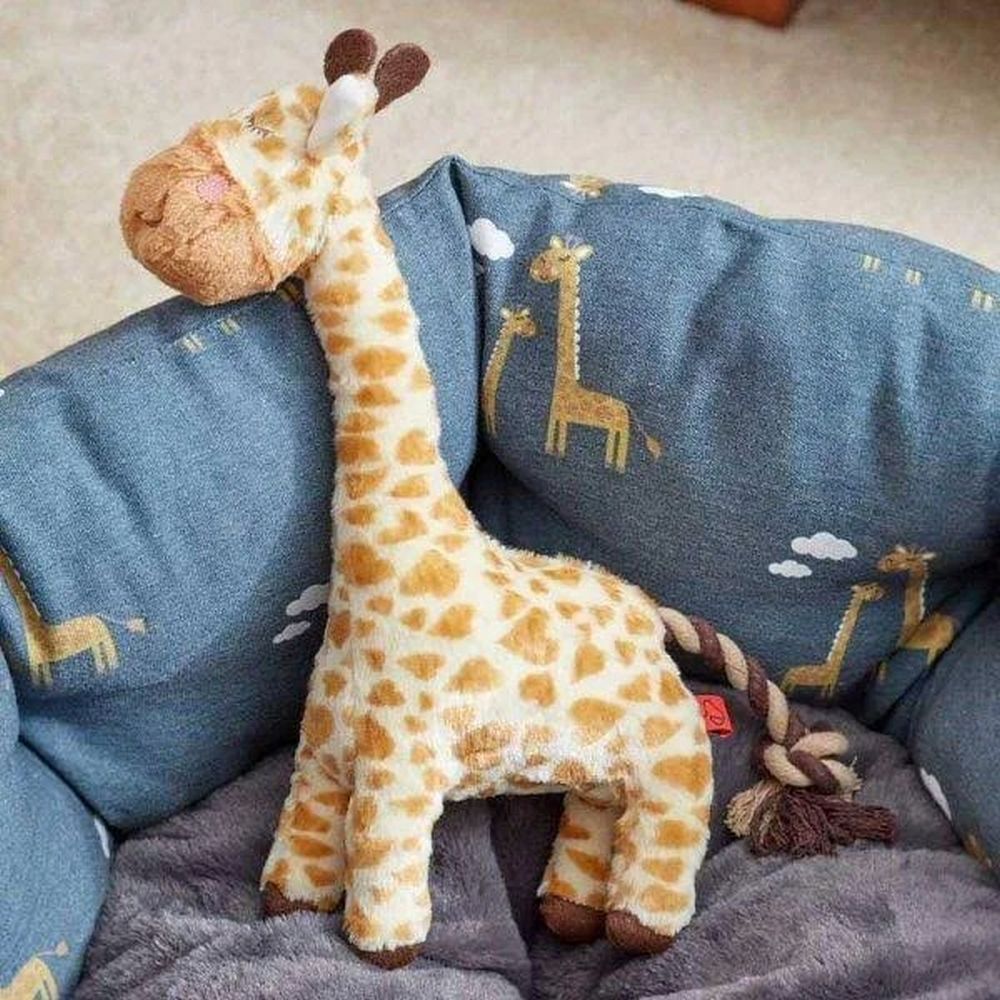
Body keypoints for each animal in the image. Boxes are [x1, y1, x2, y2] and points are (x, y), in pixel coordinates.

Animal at [481, 306, 538, 436]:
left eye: (526, 316)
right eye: (518, 318)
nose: (534, 328)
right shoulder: (489, 403)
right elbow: (491, 419)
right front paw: (493, 432)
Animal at [530, 237, 661, 473]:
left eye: (564, 258)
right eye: (546, 254)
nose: (535, 268)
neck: (566, 383)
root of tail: (626, 407)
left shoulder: (558, 415)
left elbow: (557, 437)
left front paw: (555, 453)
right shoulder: (558, 417)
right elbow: (557, 436)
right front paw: (555, 452)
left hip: (621, 426)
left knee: (622, 441)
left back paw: (617, 466)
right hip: (617, 426)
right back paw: (610, 463)